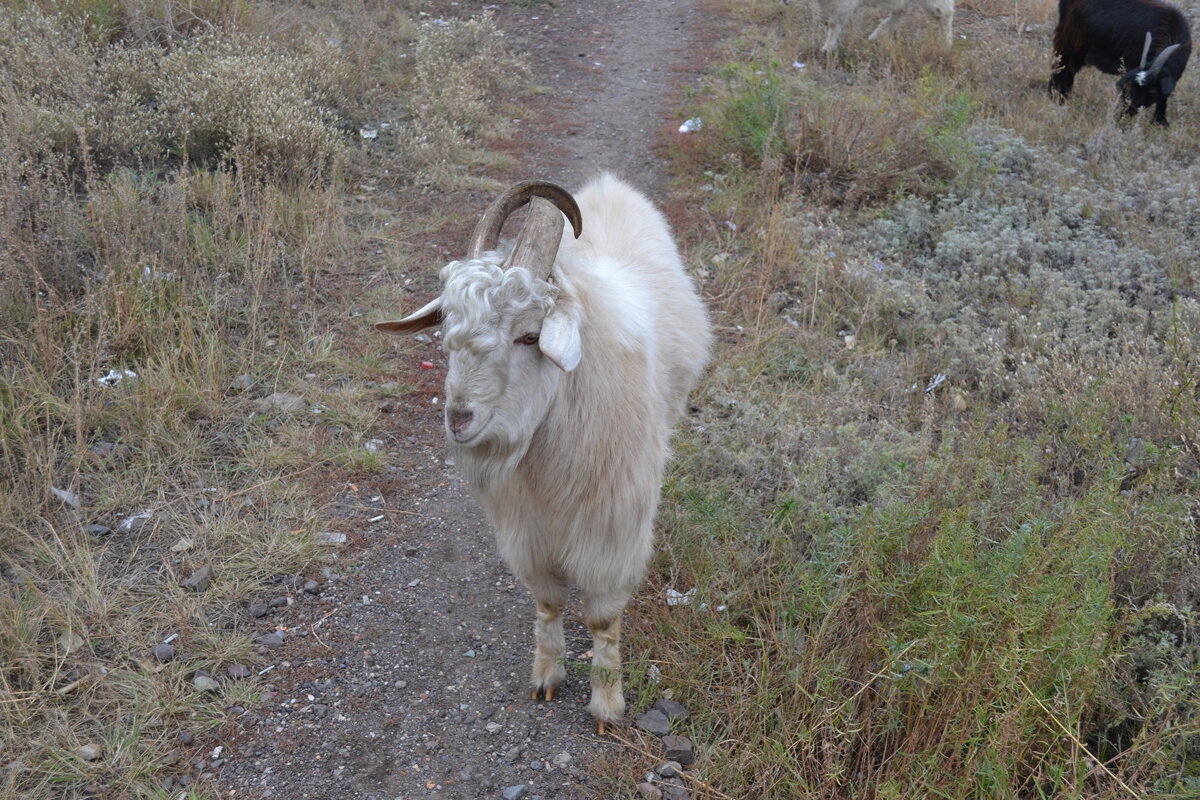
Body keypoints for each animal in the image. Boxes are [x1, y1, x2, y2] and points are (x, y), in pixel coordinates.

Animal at [374, 173, 710, 734]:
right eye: (446, 332)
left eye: (530, 336)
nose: (459, 420)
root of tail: (610, 185)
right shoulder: (526, 528)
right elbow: (549, 600)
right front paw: (547, 676)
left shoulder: (612, 529)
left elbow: (601, 617)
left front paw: (606, 704)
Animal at [1051, 0, 1190, 125]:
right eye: (1135, 86)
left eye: (1153, 91)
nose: (1130, 112)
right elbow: (1125, 94)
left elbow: (1164, 96)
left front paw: (1160, 122)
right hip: (1068, 42)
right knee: (1061, 70)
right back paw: (1057, 99)